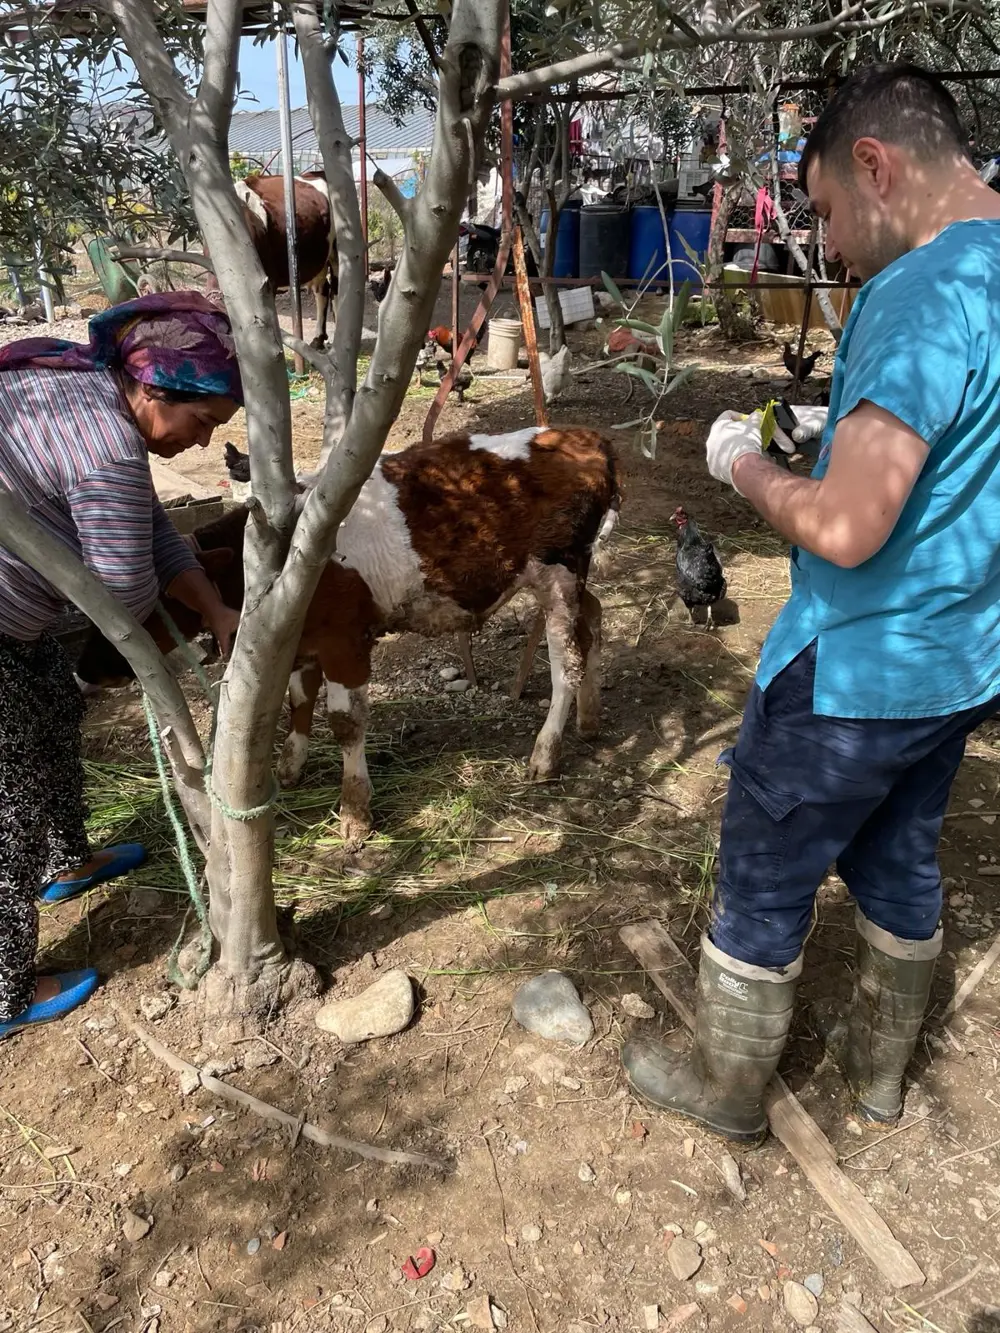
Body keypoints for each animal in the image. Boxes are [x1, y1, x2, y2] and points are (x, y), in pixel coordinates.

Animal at [80, 426, 618, 842]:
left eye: (150, 600)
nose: (84, 671)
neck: (276, 565)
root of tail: (583, 436)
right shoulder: (301, 642)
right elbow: (298, 701)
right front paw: (290, 767)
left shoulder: (345, 642)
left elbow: (345, 723)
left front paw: (355, 811)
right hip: (574, 578)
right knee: (592, 620)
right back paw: (590, 717)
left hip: (558, 575)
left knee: (567, 662)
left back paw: (546, 753)